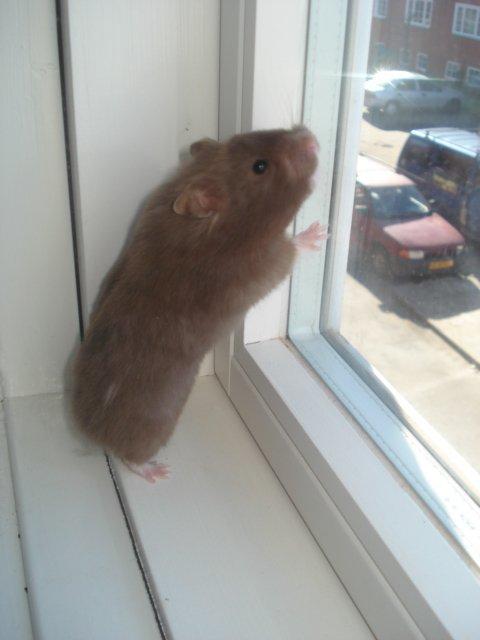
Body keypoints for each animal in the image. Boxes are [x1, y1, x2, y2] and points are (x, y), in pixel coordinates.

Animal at [72, 126, 325, 482]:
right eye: (259, 166)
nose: (310, 137)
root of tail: (89, 432)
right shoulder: (266, 264)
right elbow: (291, 250)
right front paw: (318, 233)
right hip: (153, 430)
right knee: (130, 458)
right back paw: (157, 472)